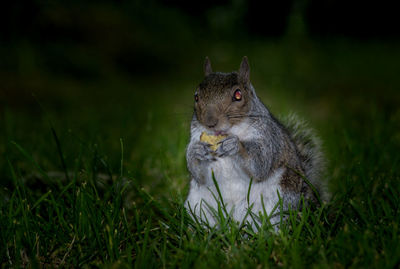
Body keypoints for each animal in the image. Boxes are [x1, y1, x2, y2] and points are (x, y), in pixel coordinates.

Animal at [184, 57, 328, 227]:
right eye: (196, 96)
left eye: (238, 95)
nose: (210, 123)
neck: (232, 130)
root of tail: (234, 221)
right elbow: (200, 176)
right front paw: (196, 151)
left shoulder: (268, 139)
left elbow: (259, 165)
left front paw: (235, 146)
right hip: (198, 205)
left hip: (277, 204)